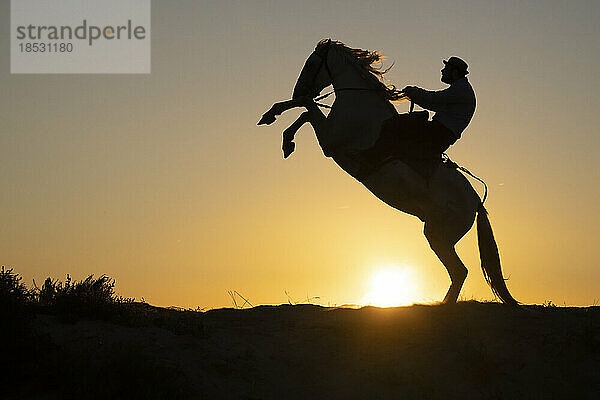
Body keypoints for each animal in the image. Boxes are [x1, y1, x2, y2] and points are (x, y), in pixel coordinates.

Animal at [258, 38, 516, 306]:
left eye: (311, 63)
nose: (298, 90)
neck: (361, 104)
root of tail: (475, 202)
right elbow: (306, 110)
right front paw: (275, 121)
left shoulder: (331, 141)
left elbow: (307, 109)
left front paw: (285, 136)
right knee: (459, 272)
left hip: (438, 235)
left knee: (459, 271)